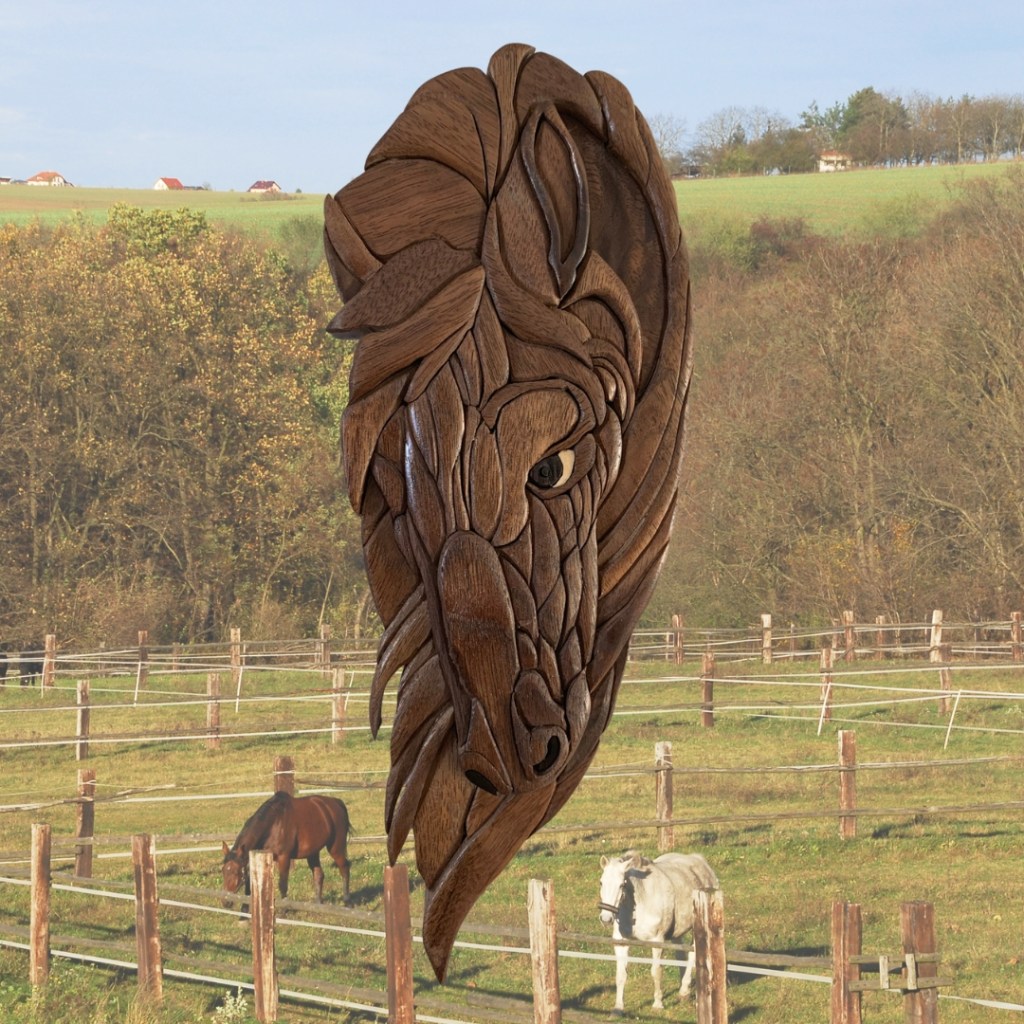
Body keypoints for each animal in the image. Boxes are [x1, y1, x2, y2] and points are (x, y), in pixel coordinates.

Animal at [221, 792, 352, 905]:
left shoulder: (284, 857)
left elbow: (282, 885)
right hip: (313, 853)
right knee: (318, 875)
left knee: (344, 867)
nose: (225, 902)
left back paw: (347, 901)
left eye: (236, 872)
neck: (274, 824)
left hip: (335, 848)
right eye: (223, 871)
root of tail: (337, 803)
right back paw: (318, 903)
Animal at [598, 850, 719, 1011]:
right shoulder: (621, 942)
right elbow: (621, 975)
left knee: (693, 954)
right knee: (680, 954)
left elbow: (656, 971)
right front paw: (618, 1008)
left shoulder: (657, 941)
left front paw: (657, 1003)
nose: (606, 918)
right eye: (601, 882)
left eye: (621, 885)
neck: (640, 901)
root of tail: (700, 861)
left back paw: (684, 990)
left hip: (697, 928)